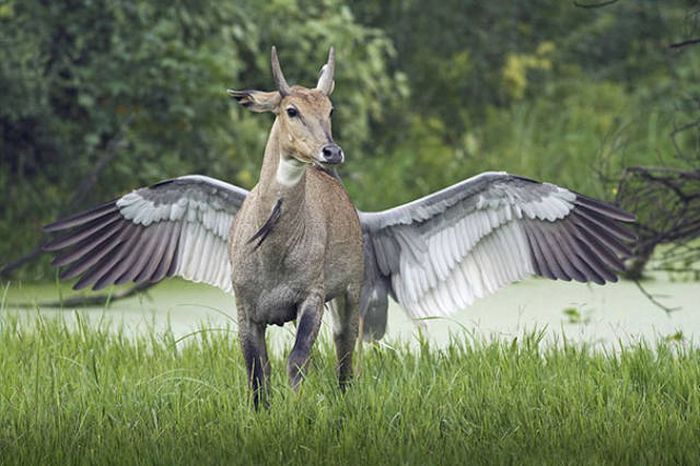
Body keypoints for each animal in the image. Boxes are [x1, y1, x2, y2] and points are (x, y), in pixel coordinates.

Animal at [41, 47, 636, 408]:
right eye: (289, 110)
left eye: (330, 107)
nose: (332, 151)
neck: (276, 241)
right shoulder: (245, 309)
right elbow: (256, 377)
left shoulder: (312, 301)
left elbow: (298, 365)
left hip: (353, 302)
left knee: (348, 363)